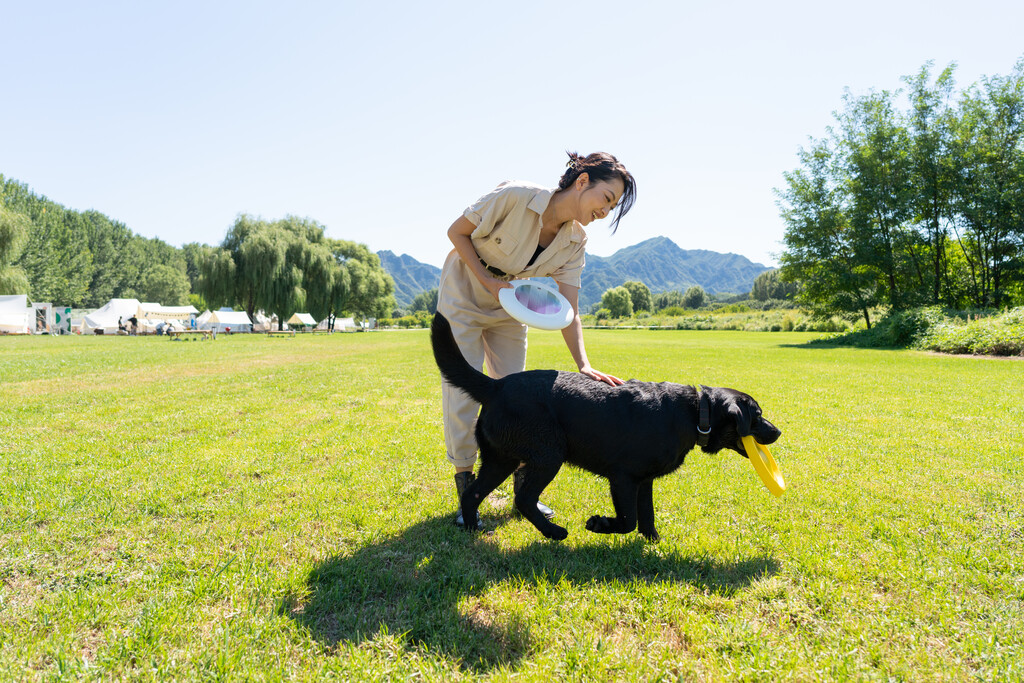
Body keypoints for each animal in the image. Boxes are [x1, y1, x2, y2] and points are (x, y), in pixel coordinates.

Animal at [428, 313, 778, 540]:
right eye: (758, 414)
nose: (778, 432)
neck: (694, 413)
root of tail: (496, 386)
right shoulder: (622, 477)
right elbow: (628, 520)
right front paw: (600, 524)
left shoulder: (643, 480)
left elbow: (646, 517)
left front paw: (654, 542)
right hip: (548, 454)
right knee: (523, 498)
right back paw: (554, 532)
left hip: (501, 459)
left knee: (472, 493)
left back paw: (472, 530)